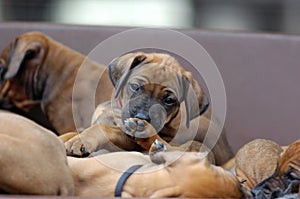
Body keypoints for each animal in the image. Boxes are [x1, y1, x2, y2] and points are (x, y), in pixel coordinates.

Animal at [63, 51, 233, 165]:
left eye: (169, 100)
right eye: (135, 86)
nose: (141, 117)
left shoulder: (126, 139)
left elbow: (104, 128)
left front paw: (82, 140)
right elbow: (72, 132)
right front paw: (69, 137)